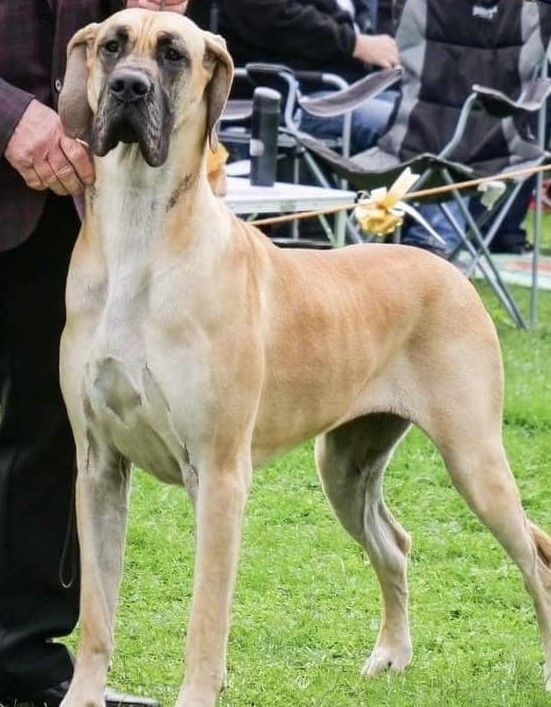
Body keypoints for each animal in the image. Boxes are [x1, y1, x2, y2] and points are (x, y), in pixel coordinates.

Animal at [57, 9, 551, 706]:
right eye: (111, 45)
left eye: (175, 54)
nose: (129, 88)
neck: (140, 233)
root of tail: (449, 269)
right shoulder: (99, 465)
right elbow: (98, 614)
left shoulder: (220, 473)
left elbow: (206, 621)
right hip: (344, 465)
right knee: (395, 544)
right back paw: (391, 655)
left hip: (474, 456)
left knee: (534, 554)